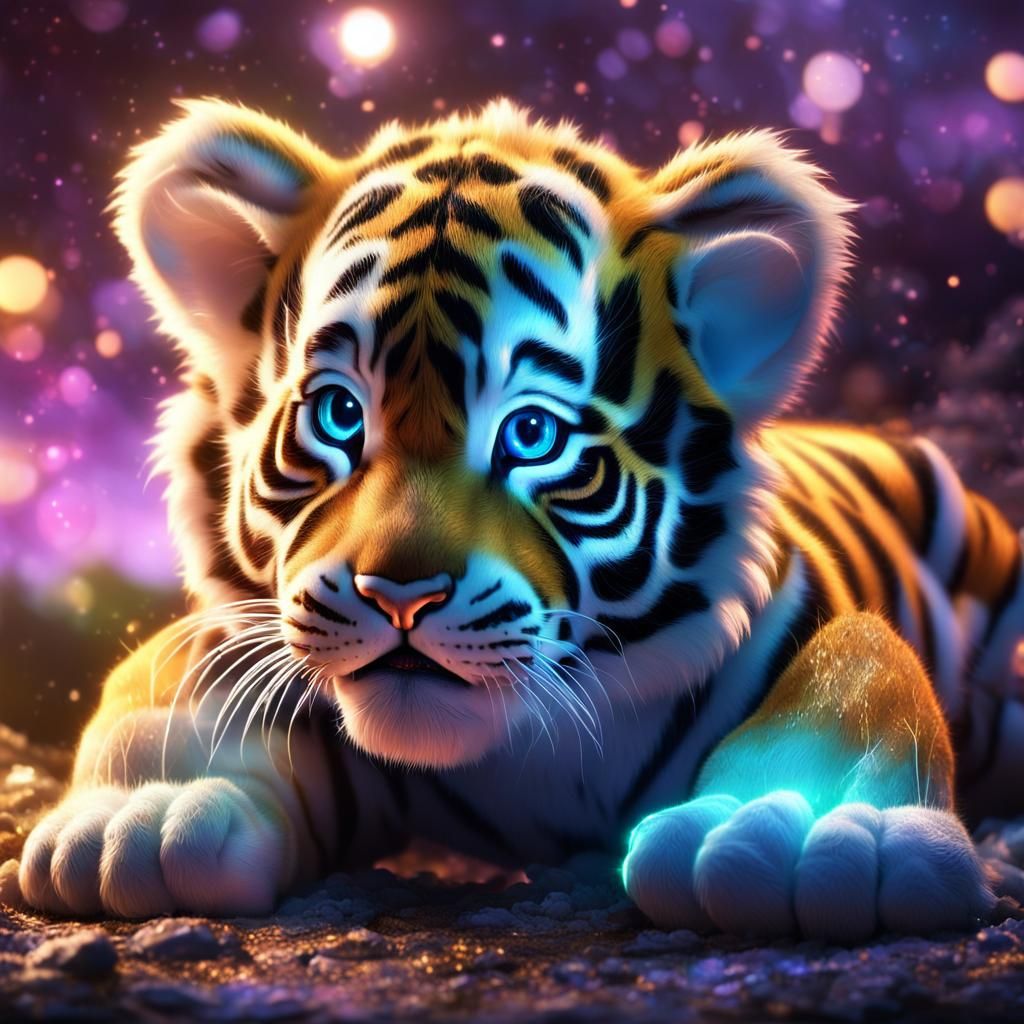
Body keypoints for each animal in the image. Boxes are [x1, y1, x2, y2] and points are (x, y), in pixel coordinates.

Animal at [18, 98, 1024, 942]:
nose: (400, 597)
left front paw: (796, 835)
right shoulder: (259, 636)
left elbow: (856, 669)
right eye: (339, 414)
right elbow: (173, 666)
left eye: (532, 433)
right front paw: (139, 817)